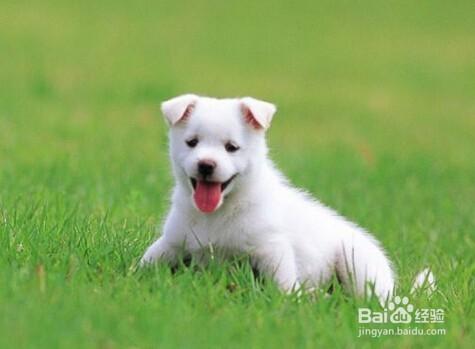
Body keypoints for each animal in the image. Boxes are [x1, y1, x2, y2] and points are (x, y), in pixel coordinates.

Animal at [143, 93, 430, 302]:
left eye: (231, 147)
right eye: (192, 142)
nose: (206, 165)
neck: (218, 213)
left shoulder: (272, 248)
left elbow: (283, 285)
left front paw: (289, 301)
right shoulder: (173, 242)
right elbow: (147, 260)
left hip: (358, 264)